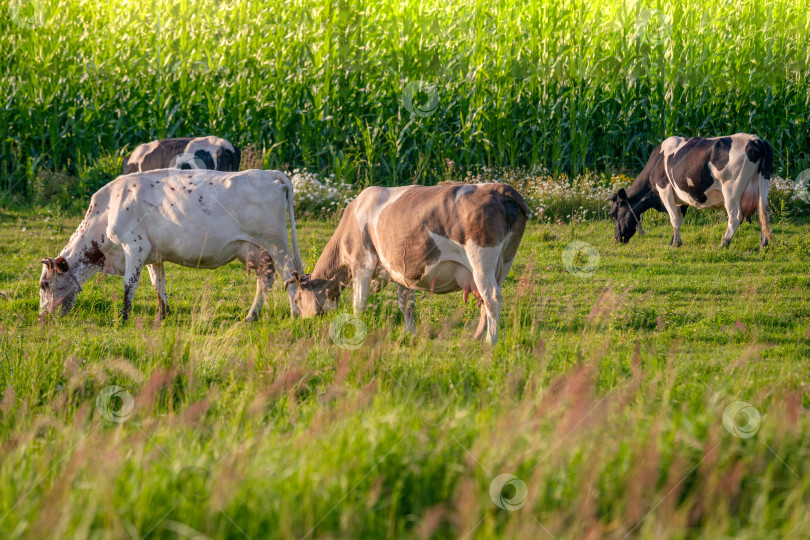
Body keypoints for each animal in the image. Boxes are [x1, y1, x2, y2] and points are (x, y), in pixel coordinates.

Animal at [38, 169, 304, 320]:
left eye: (45, 283)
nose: (42, 318)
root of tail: (271, 173)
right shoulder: (153, 255)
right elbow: (159, 283)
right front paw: (163, 314)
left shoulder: (134, 246)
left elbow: (129, 286)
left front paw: (123, 317)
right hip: (254, 249)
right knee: (266, 278)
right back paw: (251, 316)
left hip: (277, 244)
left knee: (289, 274)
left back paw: (295, 315)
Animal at [284, 184, 532, 344]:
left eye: (297, 299)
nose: (304, 324)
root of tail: (499, 188)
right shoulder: (399, 272)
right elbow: (407, 305)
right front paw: (409, 335)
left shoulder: (362, 262)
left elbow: (359, 303)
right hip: (503, 263)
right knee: (485, 302)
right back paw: (477, 338)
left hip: (481, 260)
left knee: (492, 299)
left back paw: (491, 342)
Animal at [608, 134, 772, 248]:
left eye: (612, 214)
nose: (616, 239)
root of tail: (755, 139)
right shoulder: (682, 197)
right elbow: (679, 218)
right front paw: (673, 241)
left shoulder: (664, 189)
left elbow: (673, 218)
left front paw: (676, 243)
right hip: (762, 184)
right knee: (763, 212)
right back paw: (763, 245)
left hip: (731, 189)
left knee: (735, 216)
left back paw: (723, 244)